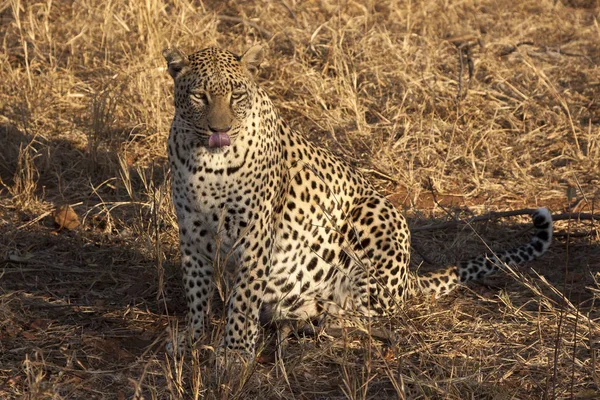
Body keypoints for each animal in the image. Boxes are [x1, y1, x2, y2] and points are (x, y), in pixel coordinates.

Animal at [163, 45, 552, 358]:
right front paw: (193, 338)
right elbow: (196, 287)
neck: (207, 162)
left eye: (237, 94)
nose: (219, 129)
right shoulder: (191, 230)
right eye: (199, 96)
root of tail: (407, 278)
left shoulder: (254, 234)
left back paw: (325, 317)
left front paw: (234, 354)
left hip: (375, 218)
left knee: (373, 310)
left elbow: (243, 299)